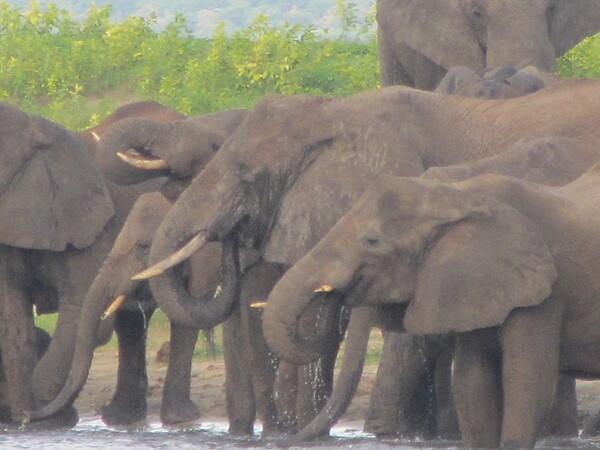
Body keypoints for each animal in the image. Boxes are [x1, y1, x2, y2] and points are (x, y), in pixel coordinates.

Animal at [262, 167, 600, 448]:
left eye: (372, 241)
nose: (331, 294)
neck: (456, 197)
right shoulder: (473, 290)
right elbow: (471, 384)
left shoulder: (543, 295)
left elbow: (527, 384)